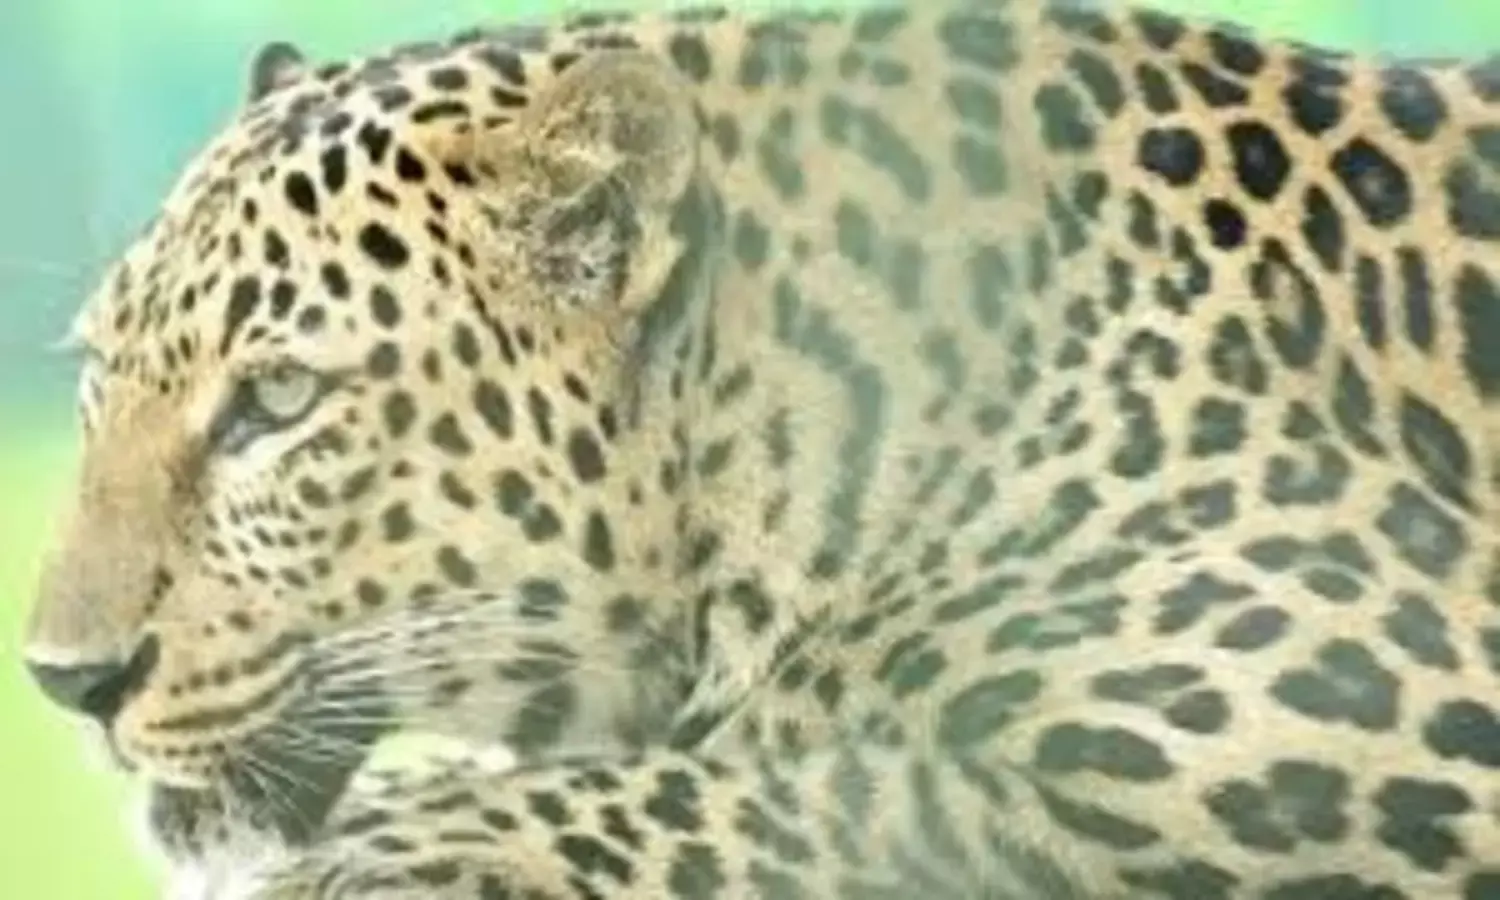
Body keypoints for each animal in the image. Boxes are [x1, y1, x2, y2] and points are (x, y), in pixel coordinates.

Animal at [21, 0, 1500, 896]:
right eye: (100, 378)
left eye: (276, 401)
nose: (66, 684)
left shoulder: (1360, 726)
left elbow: (848, 783)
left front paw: (390, 842)